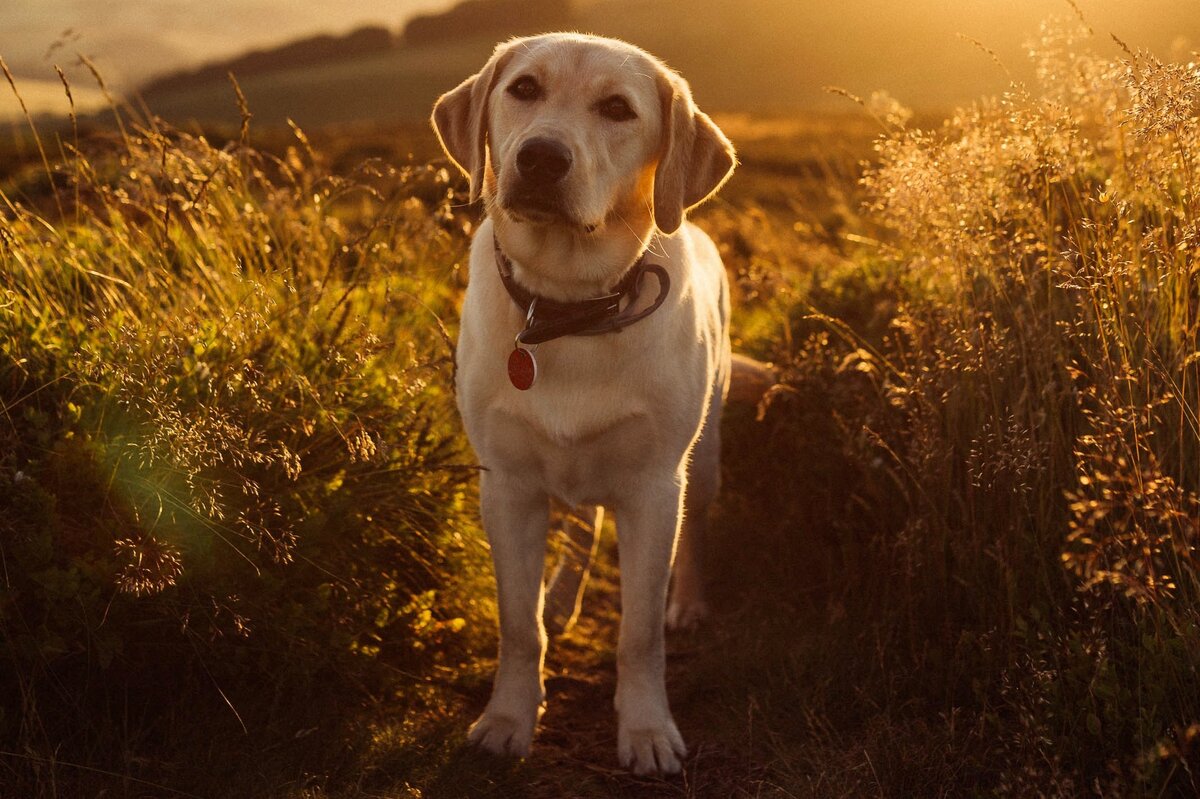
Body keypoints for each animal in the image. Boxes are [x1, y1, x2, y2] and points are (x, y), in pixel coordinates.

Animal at [432, 31, 729, 772]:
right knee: (581, 527)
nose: (541, 156)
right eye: (524, 89)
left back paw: (689, 603)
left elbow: (639, 633)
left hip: (705, 456)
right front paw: (507, 719)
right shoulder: (506, 485)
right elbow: (519, 625)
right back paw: (563, 597)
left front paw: (647, 729)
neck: (566, 306)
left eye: (618, 108)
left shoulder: (654, 488)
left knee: (695, 533)